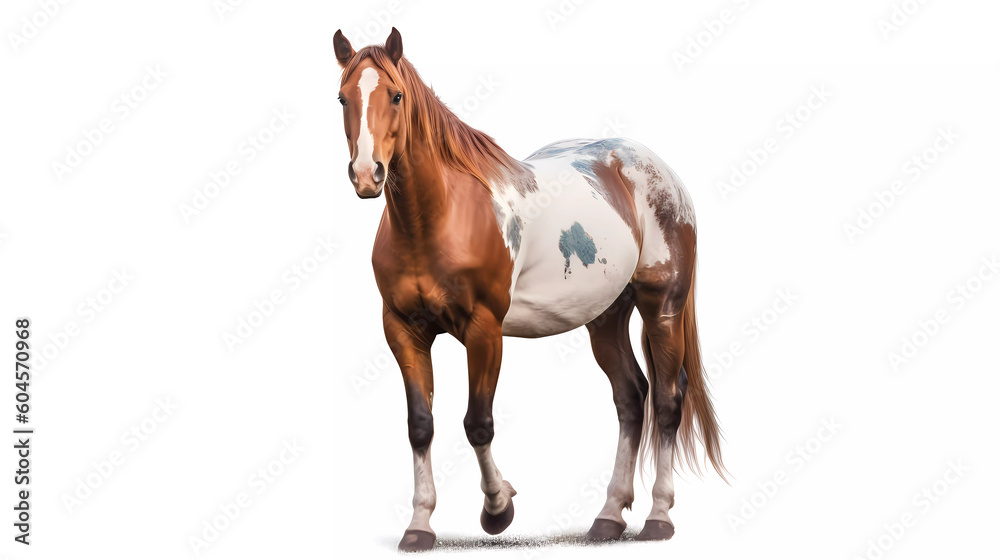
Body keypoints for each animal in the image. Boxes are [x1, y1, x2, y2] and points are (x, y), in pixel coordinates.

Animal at [333, 28, 725, 551]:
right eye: (342, 97)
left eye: (395, 95)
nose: (366, 174)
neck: (440, 217)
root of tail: (655, 168)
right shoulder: (402, 331)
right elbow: (420, 426)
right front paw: (419, 525)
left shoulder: (483, 331)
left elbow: (478, 424)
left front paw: (498, 509)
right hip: (605, 317)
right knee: (630, 397)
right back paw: (608, 517)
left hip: (662, 306)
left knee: (665, 401)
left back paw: (658, 518)